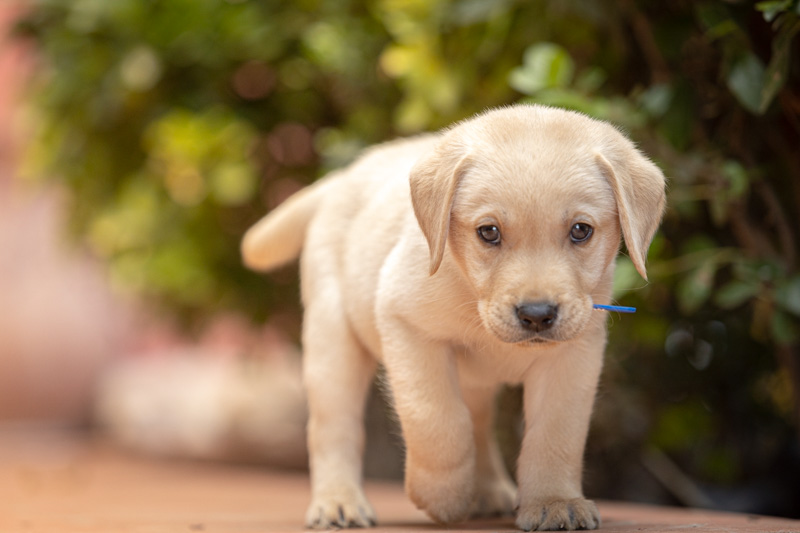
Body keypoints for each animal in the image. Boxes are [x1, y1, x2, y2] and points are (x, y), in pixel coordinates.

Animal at [241, 104, 664, 528]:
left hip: (475, 380)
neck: (472, 296)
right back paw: (337, 502)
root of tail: (345, 177)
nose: (537, 315)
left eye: (581, 230)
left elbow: (557, 434)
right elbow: (437, 419)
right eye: (488, 232)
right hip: (334, 345)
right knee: (334, 428)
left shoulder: (573, 357)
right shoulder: (406, 327)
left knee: (478, 422)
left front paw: (554, 501)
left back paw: (488, 490)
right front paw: (440, 494)